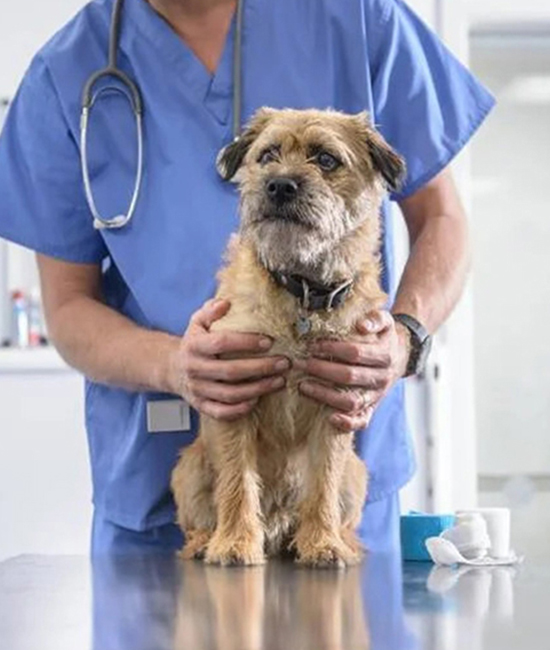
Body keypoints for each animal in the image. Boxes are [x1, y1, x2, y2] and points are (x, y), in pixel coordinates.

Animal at [171, 109, 406, 564]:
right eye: (268, 155)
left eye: (326, 159)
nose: (279, 184)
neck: (302, 291)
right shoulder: (235, 396)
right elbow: (237, 481)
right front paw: (235, 542)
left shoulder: (337, 402)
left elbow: (323, 483)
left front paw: (323, 543)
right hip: (188, 468)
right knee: (196, 519)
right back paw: (205, 541)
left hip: (357, 475)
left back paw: (339, 540)